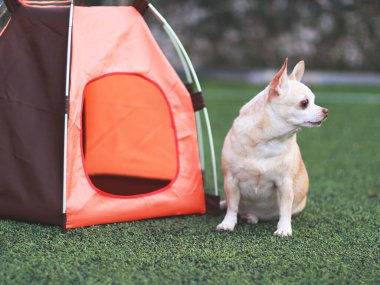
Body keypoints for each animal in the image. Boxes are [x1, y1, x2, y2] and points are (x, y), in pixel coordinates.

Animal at [215, 58, 328, 235]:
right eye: (304, 103)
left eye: (314, 101)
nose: (326, 111)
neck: (268, 141)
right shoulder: (231, 181)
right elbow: (232, 206)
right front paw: (227, 223)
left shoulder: (285, 184)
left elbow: (285, 209)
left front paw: (284, 228)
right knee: (230, 204)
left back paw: (250, 217)